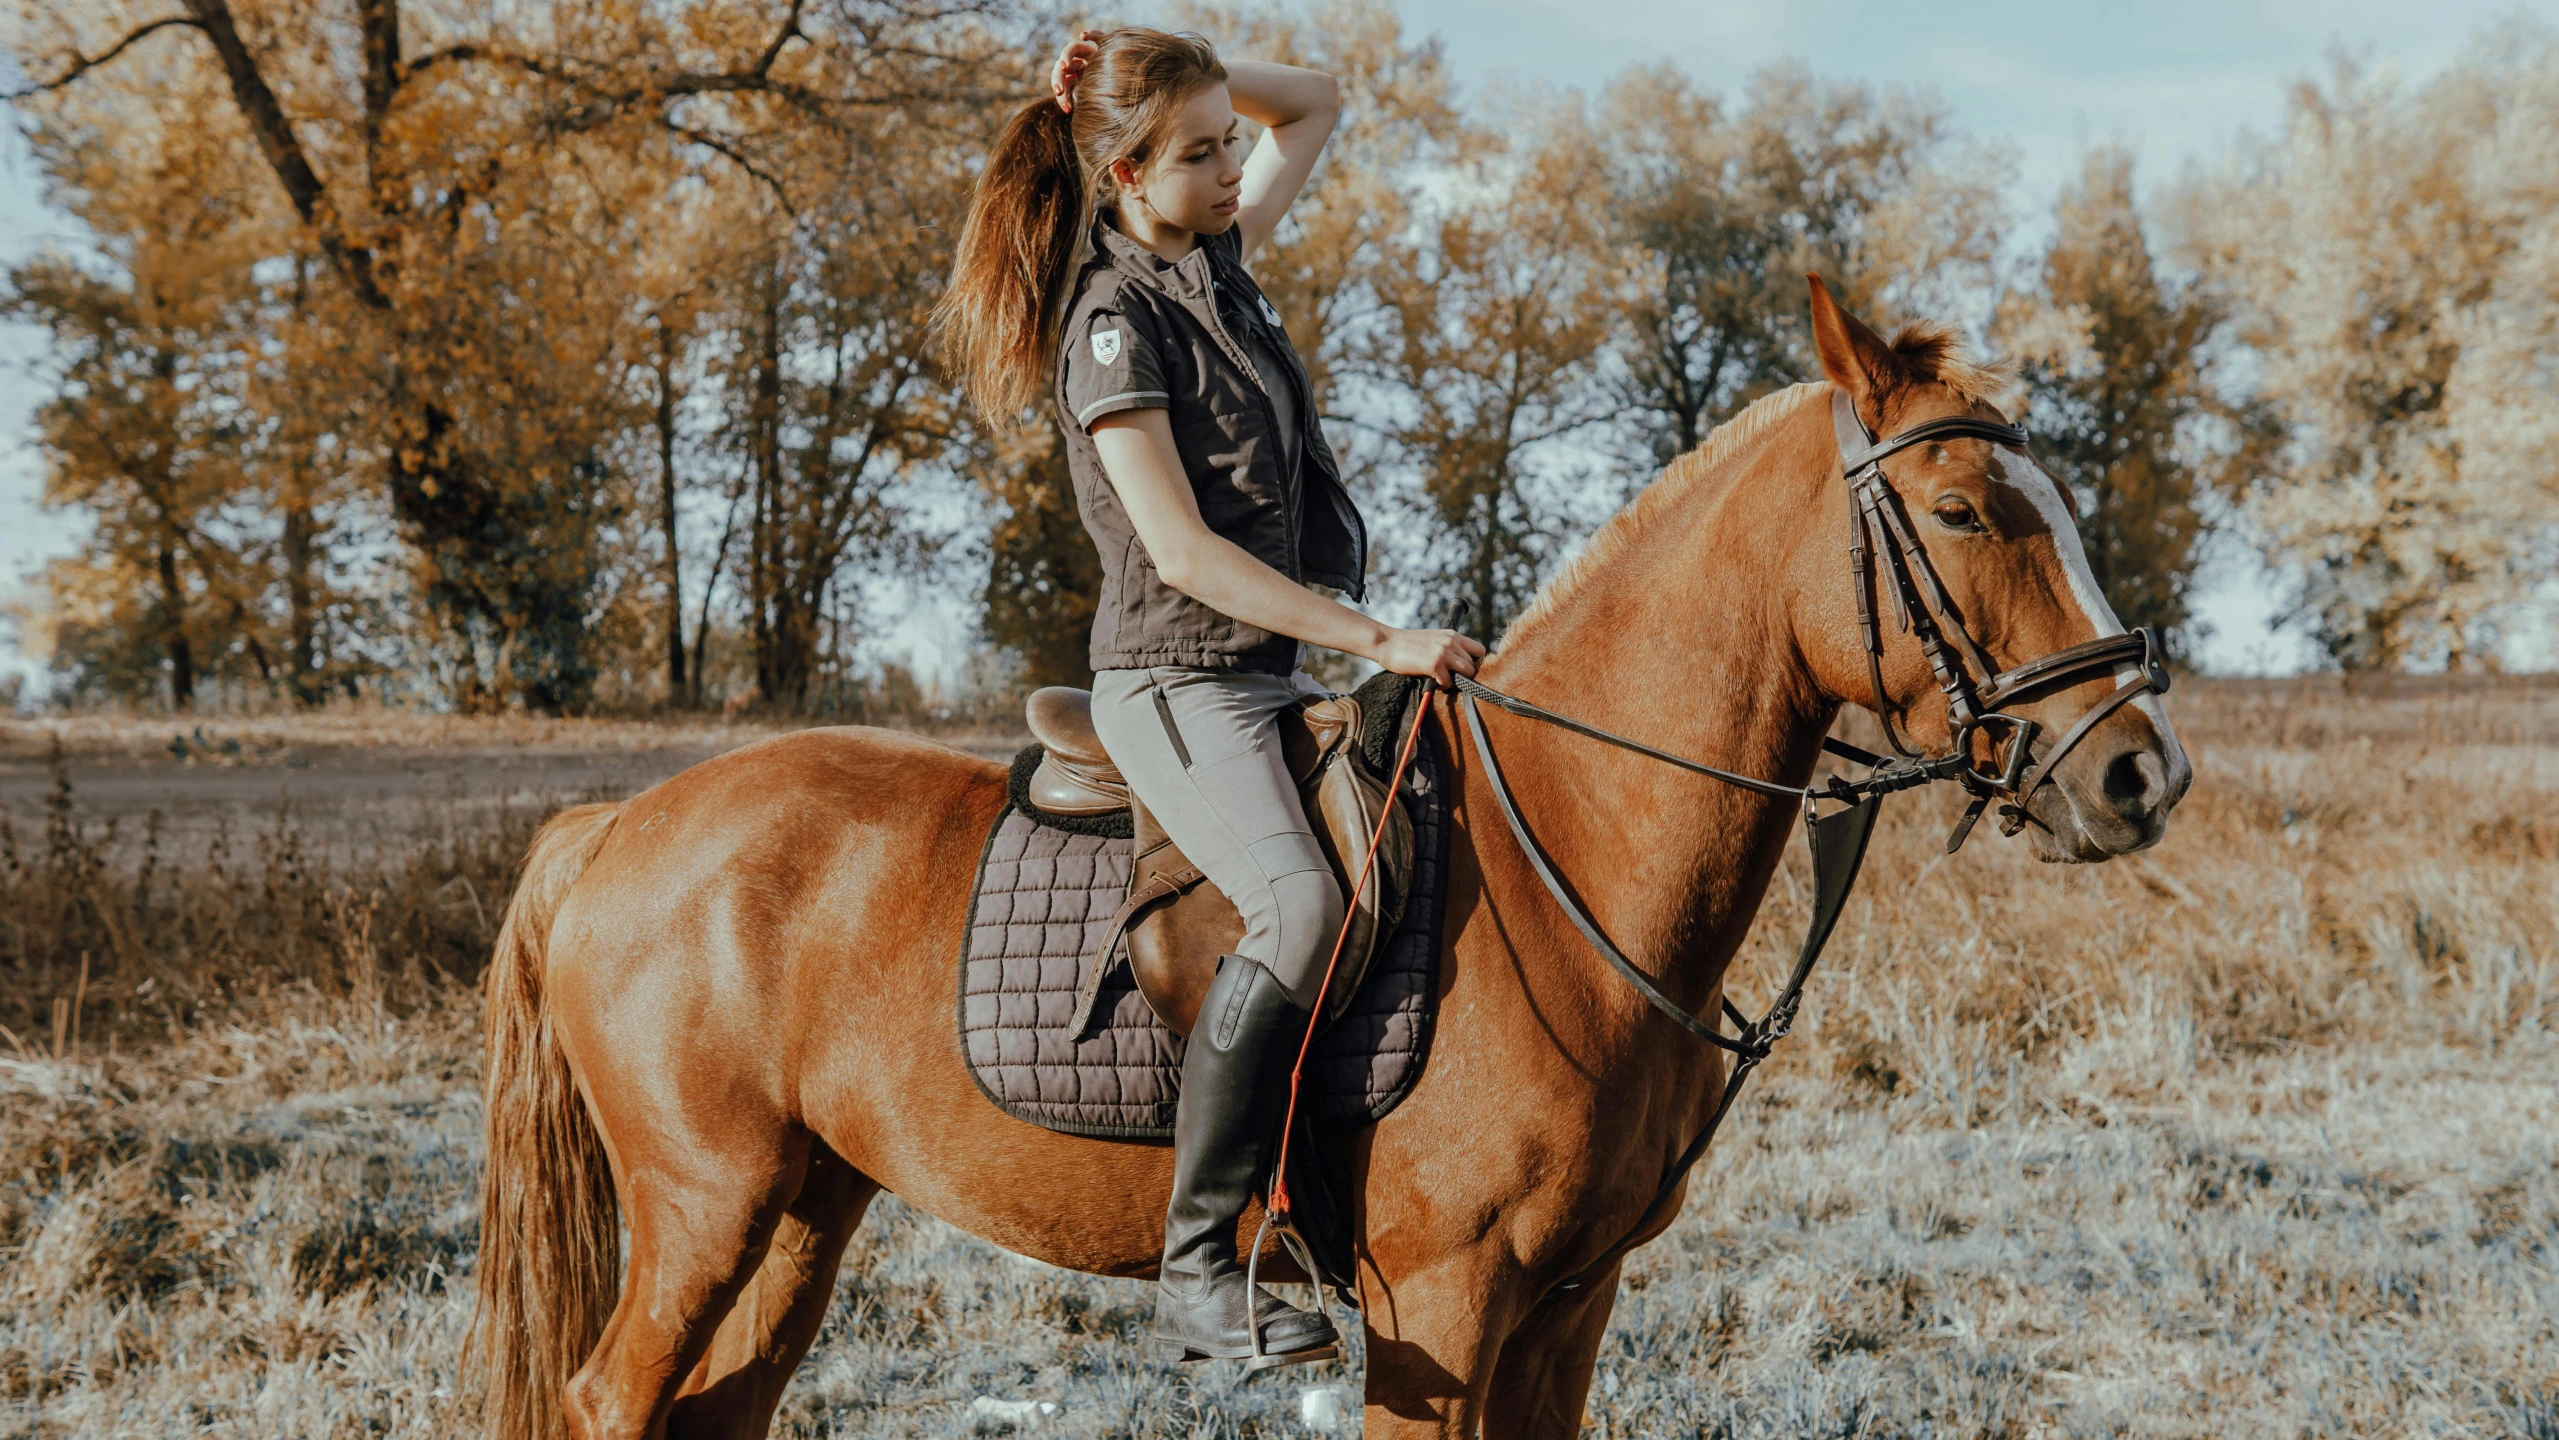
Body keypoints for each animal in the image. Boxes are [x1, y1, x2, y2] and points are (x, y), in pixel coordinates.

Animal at [475, 281, 2180, 1440]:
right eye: (1959, 510)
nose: (2136, 772)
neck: (1568, 860)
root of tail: (618, 826)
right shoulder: (1441, 1305)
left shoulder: (1568, 1309)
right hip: (702, 1207)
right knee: (608, 1400)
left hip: (797, 1211)